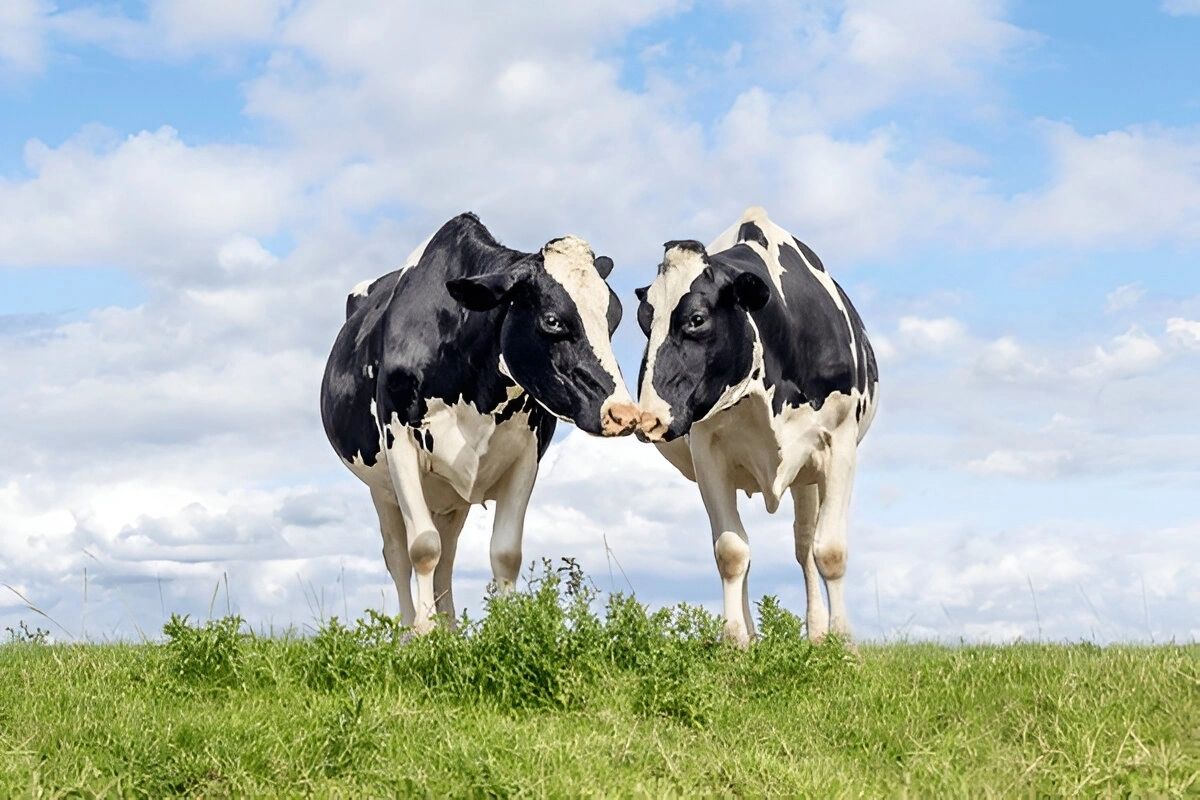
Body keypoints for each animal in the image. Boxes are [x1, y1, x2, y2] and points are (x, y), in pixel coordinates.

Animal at [320, 213, 639, 634]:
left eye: (613, 318)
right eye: (553, 321)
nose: (624, 413)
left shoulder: (526, 454)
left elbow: (504, 553)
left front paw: (501, 631)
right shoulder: (398, 440)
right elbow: (422, 547)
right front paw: (423, 634)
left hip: (449, 497)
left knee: (448, 556)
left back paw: (452, 632)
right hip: (381, 487)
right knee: (398, 555)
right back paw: (407, 633)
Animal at [634, 206, 878, 646]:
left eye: (696, 319)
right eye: (645, 322)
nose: (648, 418)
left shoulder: (839, 443)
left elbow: (829, 551)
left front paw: (843, 643)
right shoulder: (707, 453)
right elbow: (731, 552)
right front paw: (735, 642)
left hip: (807, 475)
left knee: (804, 545)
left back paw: (818, 634)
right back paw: (751, 632)